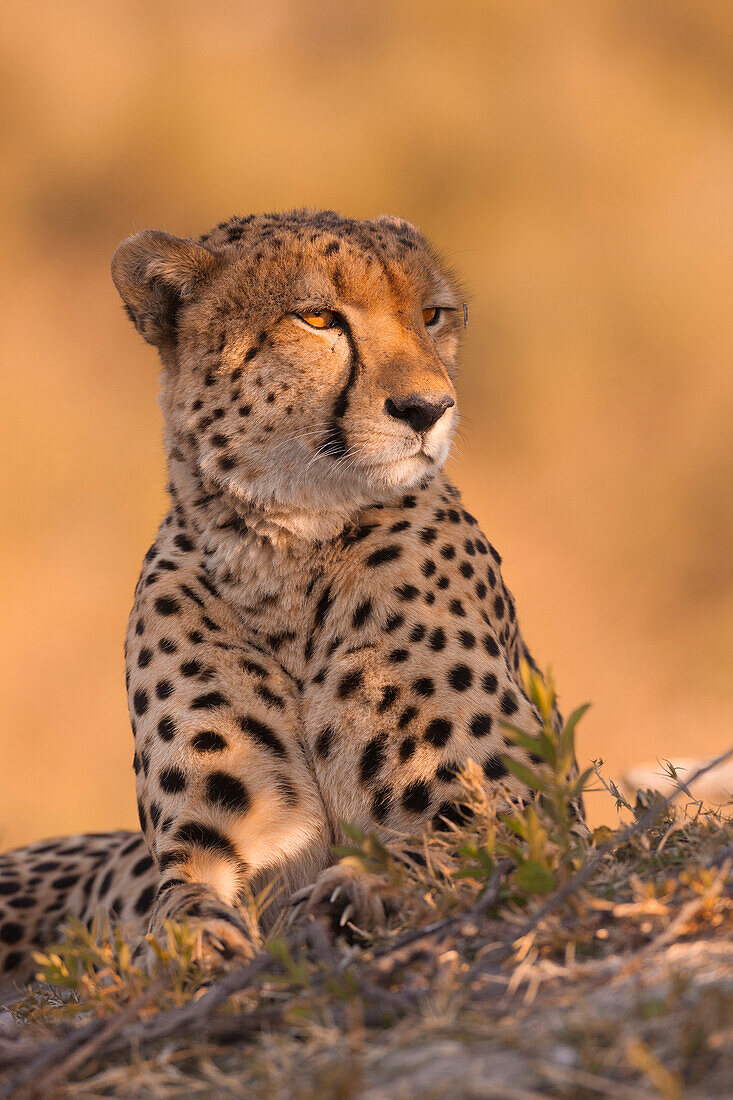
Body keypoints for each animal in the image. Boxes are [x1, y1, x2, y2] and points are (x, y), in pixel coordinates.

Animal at [1, 210, 581, 985]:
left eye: (432, 315)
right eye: (318, 318)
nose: (428, 408)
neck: (288, 553)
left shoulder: (524, 802)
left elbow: (430, 844)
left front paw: (354, 894)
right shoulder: (207, 846)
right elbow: (174, 908)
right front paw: (198, 944)